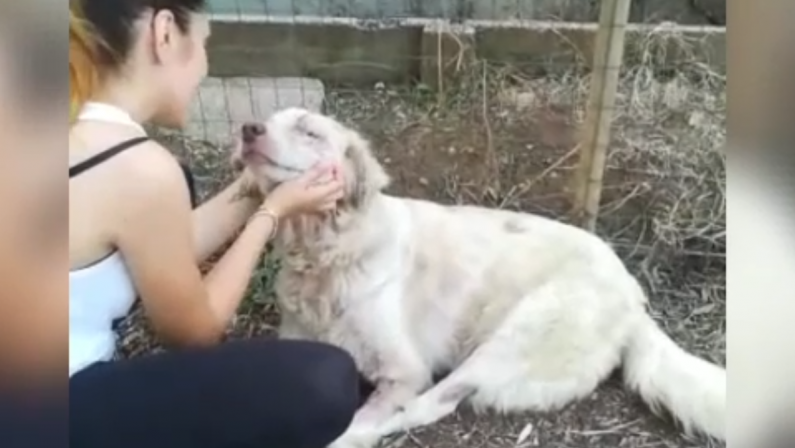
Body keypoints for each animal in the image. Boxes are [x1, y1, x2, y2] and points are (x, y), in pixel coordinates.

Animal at [232, 107, 728, 446]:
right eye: (270, 121)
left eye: (309, 131)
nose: (248, 128)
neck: (328, 254)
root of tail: (633, 295)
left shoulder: (405, 371)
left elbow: (371, 416)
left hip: (511, 339)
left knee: (431, 405)